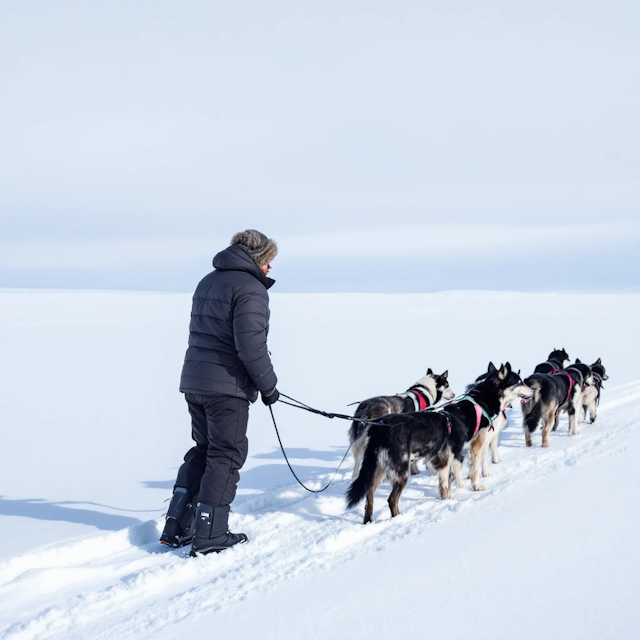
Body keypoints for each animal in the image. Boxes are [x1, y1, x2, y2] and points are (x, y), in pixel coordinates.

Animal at [348, 362, 532, 524]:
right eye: (519, 381)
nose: (533, 390)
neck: (480, 401)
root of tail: (379, 428)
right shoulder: (475, 446)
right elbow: (473, 471)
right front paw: (475, 486)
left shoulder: (447, 457)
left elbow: (447, 482)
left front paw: (449, 496)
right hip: (401, 472)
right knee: (391, 500)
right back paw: (398, 519)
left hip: (377, 470)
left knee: (369, 497)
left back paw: (368, 521)